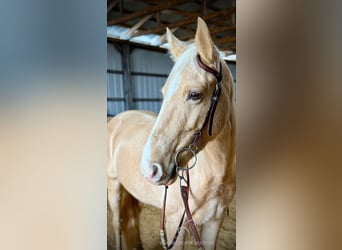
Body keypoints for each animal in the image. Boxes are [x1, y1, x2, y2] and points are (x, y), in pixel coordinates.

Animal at [107, 18, 235, 250]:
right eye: (163, 92)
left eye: (195, 94)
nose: (149, 170)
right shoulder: (176, 222)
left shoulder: (214, 222)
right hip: (113, 185)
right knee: (117, 222)